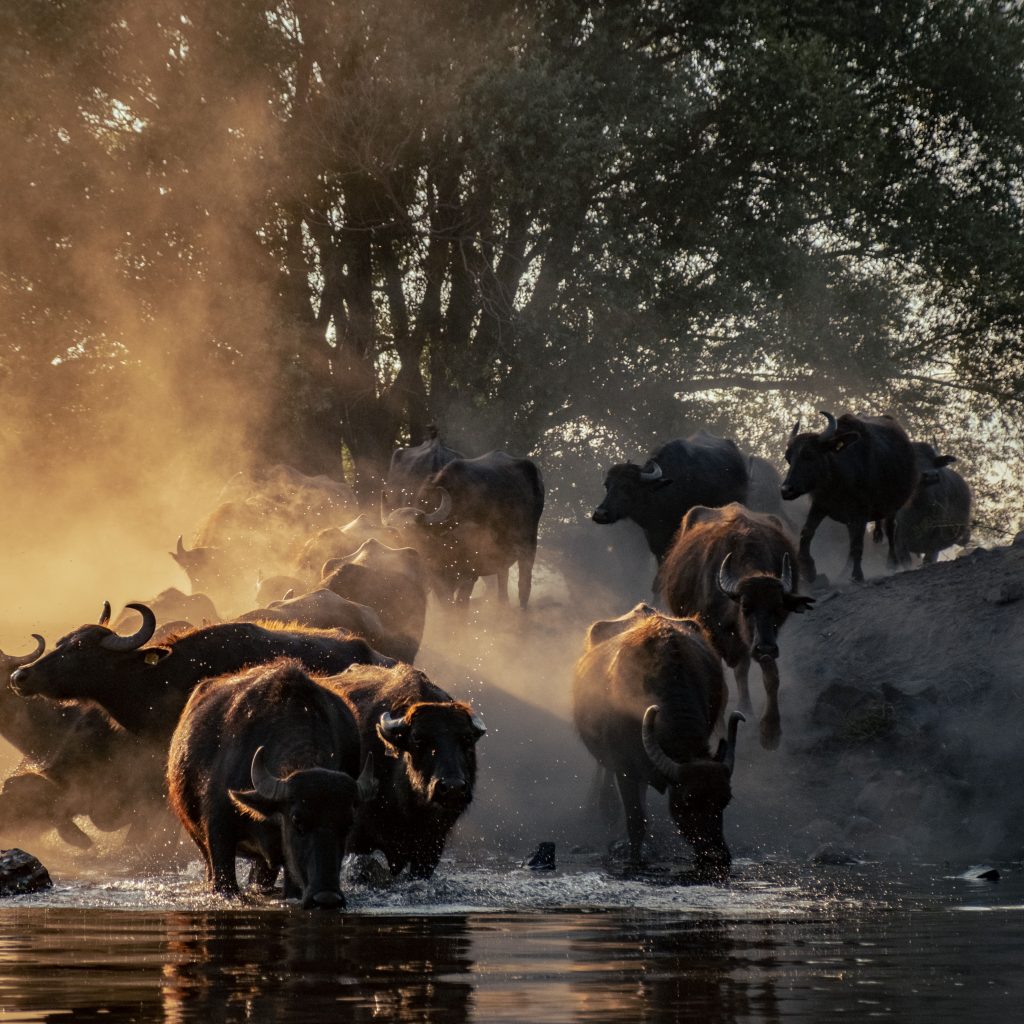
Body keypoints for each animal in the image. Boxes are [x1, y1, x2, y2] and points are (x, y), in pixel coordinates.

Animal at [386, 451, 544, 607]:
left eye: (413, 531)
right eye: (391, 532)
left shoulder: (470, 574)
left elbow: (461, 605)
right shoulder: (437, 578)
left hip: (529, 546)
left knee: (524, 585)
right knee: (502, 584)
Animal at [573, 604, 743, 878]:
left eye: (725, 799)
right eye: (687, 801)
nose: (717, 857)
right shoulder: (626, 769)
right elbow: (635, 821)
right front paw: (635, 861)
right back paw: (606, 806)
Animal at [658, 503, 814, 750]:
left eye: (777, 607)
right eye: (745, 606)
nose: (766, 648)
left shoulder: (760, 640)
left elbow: (771, 677)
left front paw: (770, 732)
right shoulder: (715, 635)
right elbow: (720, 687)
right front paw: (719, 732)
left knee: (742, 670)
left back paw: (747, 709)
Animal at [780, 411, 918, 582]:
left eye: (809, 455)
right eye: (788, 458)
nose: (786, 490)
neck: (838, 480)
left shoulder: (861, 512)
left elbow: (858, 545)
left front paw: (857, 575)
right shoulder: (820, 505)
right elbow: (806, 532)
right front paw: (808, 569)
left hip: (892, 507)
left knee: (890, 530)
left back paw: (892, 563)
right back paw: (844, 572)